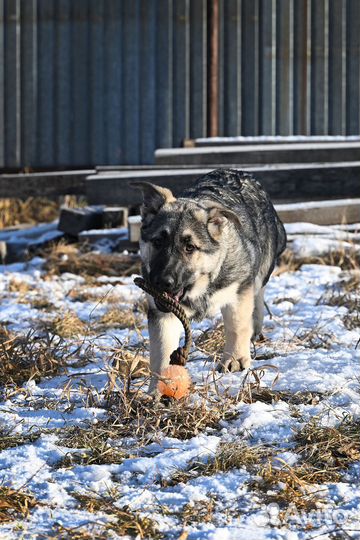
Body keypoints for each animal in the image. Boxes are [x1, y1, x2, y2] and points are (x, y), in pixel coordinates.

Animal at [135, 168, 286, 392]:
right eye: (158, 242)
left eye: (190, 247)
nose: (161, 282)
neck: (202, 284)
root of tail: (239, 172)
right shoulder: (161, 313)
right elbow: (162, 349)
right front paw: (160, 387)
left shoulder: (239, 291)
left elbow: (237, 326)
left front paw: (235, 360)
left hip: (261, 271)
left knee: (258, 297)